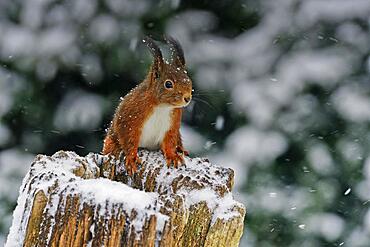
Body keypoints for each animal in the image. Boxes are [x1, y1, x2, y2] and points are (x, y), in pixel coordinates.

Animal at [102, 36, 192, 176]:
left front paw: (172, 155)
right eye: (168, 84)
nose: (187, 98)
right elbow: (129, 140)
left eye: (188, 79)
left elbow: (169, 142)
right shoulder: (130, 119)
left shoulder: (172, 124)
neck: (162, 106)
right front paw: (132, 158)